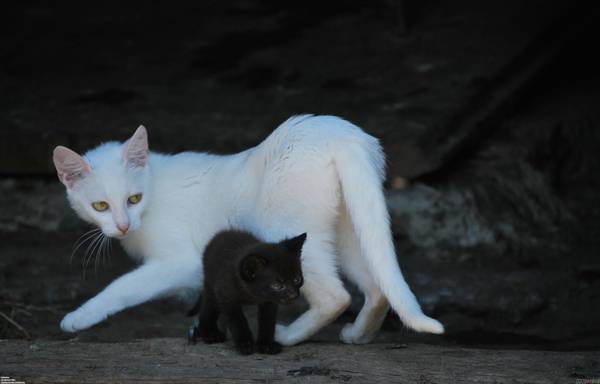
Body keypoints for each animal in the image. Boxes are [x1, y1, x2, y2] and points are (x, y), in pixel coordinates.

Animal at [54, 115, 442, 344]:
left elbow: (123, 287)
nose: (122, 225)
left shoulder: (183, 261)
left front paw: (78, 317)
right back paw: (357, 335)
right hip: (349, 230)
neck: (153, 186)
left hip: (287, 231)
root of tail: (338, 133)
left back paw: (286, 337)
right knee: (378, 289)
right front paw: (208, 330)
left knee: (336, 296)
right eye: (100, 206)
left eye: (133, 199)